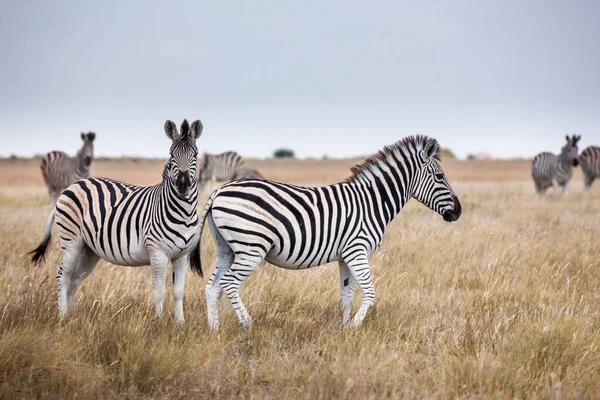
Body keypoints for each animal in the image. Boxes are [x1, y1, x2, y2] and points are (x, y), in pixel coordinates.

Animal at [29, 119, 204, 324]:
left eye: (195, 154)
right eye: (171, 154)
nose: (183, 184)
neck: (184, 212)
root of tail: (73, 186)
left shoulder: (182, 256)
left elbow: (178, 292)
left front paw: (180, 325)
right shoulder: (157, 253)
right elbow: (160, 292)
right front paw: (158, 324)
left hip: (88, 250)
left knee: (74, 279)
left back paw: (73, 317)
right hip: (71, 241)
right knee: (63, 276)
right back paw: (63, 317)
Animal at [190, 134, 462, 328]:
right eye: (440, 176)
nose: (458, 212)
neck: (371, 202)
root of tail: (220, 190)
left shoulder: (346, 256)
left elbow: (346, 294)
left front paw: (343, 330)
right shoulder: (357, 250)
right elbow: (370, 292)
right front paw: (355, 327)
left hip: (227, 249)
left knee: (212, 286)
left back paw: (214, 331)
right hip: (251, 248)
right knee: (228, 283)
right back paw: (247, 324)